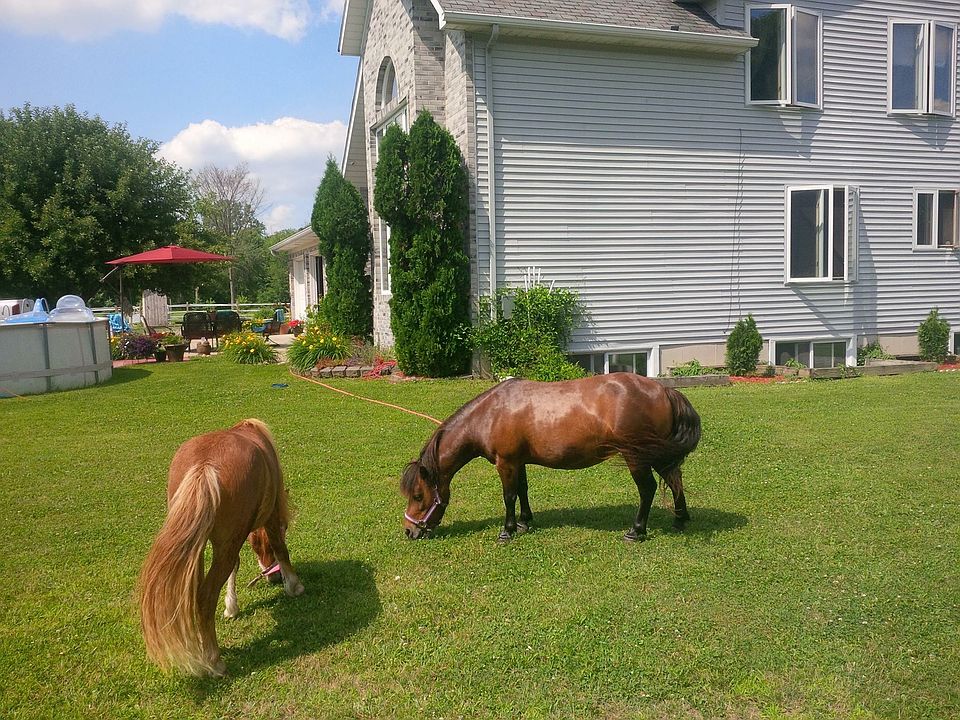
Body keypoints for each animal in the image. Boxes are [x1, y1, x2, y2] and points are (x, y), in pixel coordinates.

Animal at [139, 419, 304, 677]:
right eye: (285, 526)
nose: (274, 578)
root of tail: (204, 466)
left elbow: (235, 566)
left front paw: (231, 607)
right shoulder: (270, 516)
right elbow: (280, 547)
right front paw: (294, 586)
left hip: (196, 550)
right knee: (205, 595)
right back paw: (214, 660)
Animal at [401, 373, 701, 542]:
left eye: (418, 495)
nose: (409, 531)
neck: (490, 414)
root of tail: (665, 390)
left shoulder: (505, 463)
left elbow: (508, 496)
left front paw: (507, 531)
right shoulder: (518, 461)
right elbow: (522, 490)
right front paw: (524, 521)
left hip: (637, 457)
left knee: (648, 489)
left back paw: (636, 531)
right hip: (658, 454)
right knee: (675, 480)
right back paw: (680, 519)